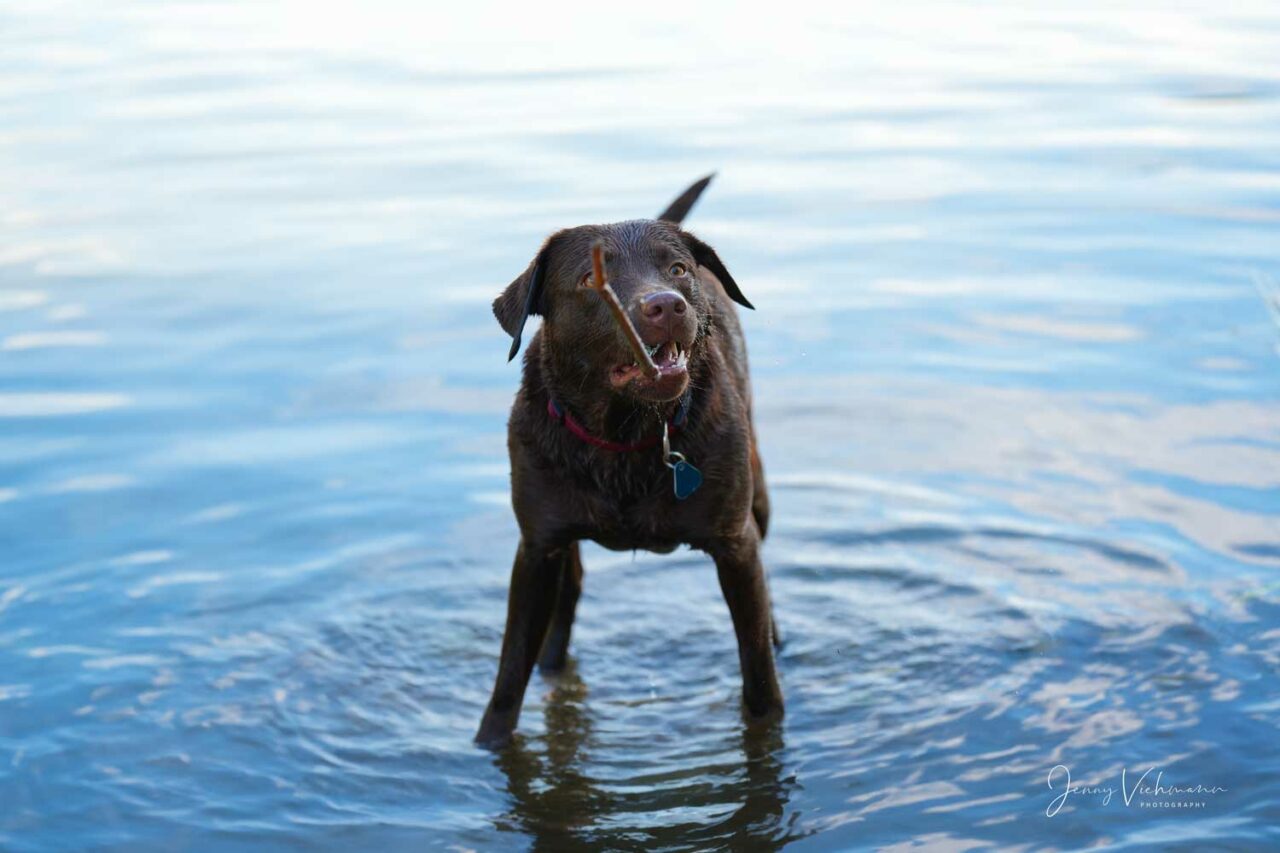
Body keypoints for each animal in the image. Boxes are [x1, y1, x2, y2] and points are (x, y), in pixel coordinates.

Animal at [478, 174, 783, 742]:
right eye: (589, 280)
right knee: (565, 608)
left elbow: (758, 676)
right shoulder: (536, 549)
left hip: (759, 498)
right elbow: (510, 674)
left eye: (677, 269)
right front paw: (489, 738)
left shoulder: (735, 546)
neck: (626, 437)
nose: (666, 305)